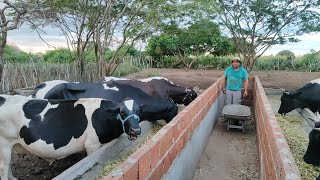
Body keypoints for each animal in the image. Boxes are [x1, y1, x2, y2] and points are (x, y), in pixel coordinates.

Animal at [0, 94, 141, 180]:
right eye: (122, 113)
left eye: (138, 111)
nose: (136, 130)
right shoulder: (92, 145)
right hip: (4, 145)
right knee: (3, 168)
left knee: (8, 166)